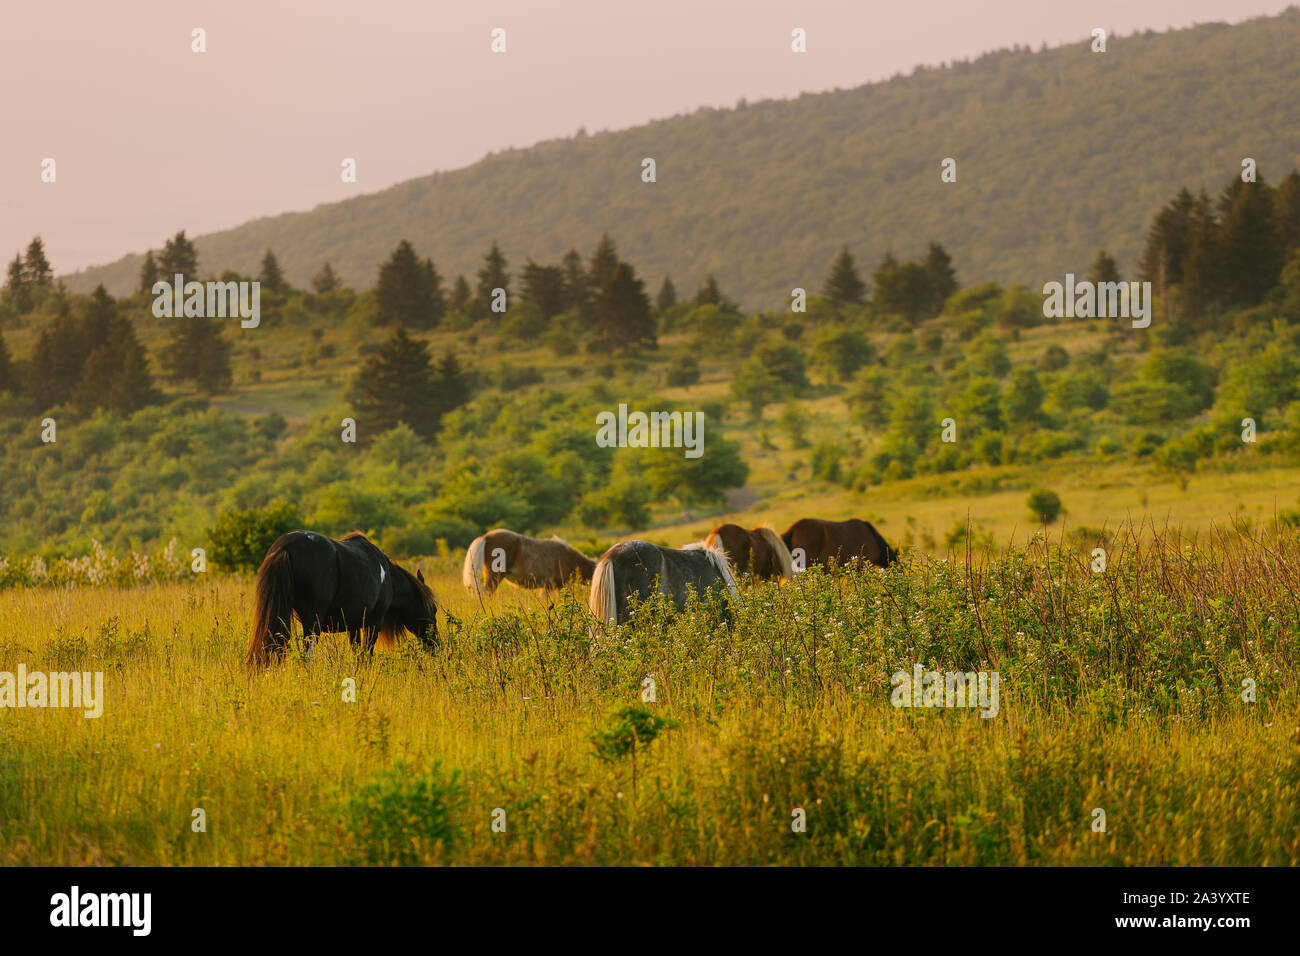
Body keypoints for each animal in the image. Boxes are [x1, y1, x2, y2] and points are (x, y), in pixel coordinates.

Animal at [245, 530, 439, 671]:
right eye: (434, 609)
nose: (437, 644)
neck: (387, 575)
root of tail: (286, 547)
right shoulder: (374, 623)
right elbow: (366, 655)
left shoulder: (353, 626)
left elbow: (357, 654)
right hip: (312, 624)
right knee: (308, 656)